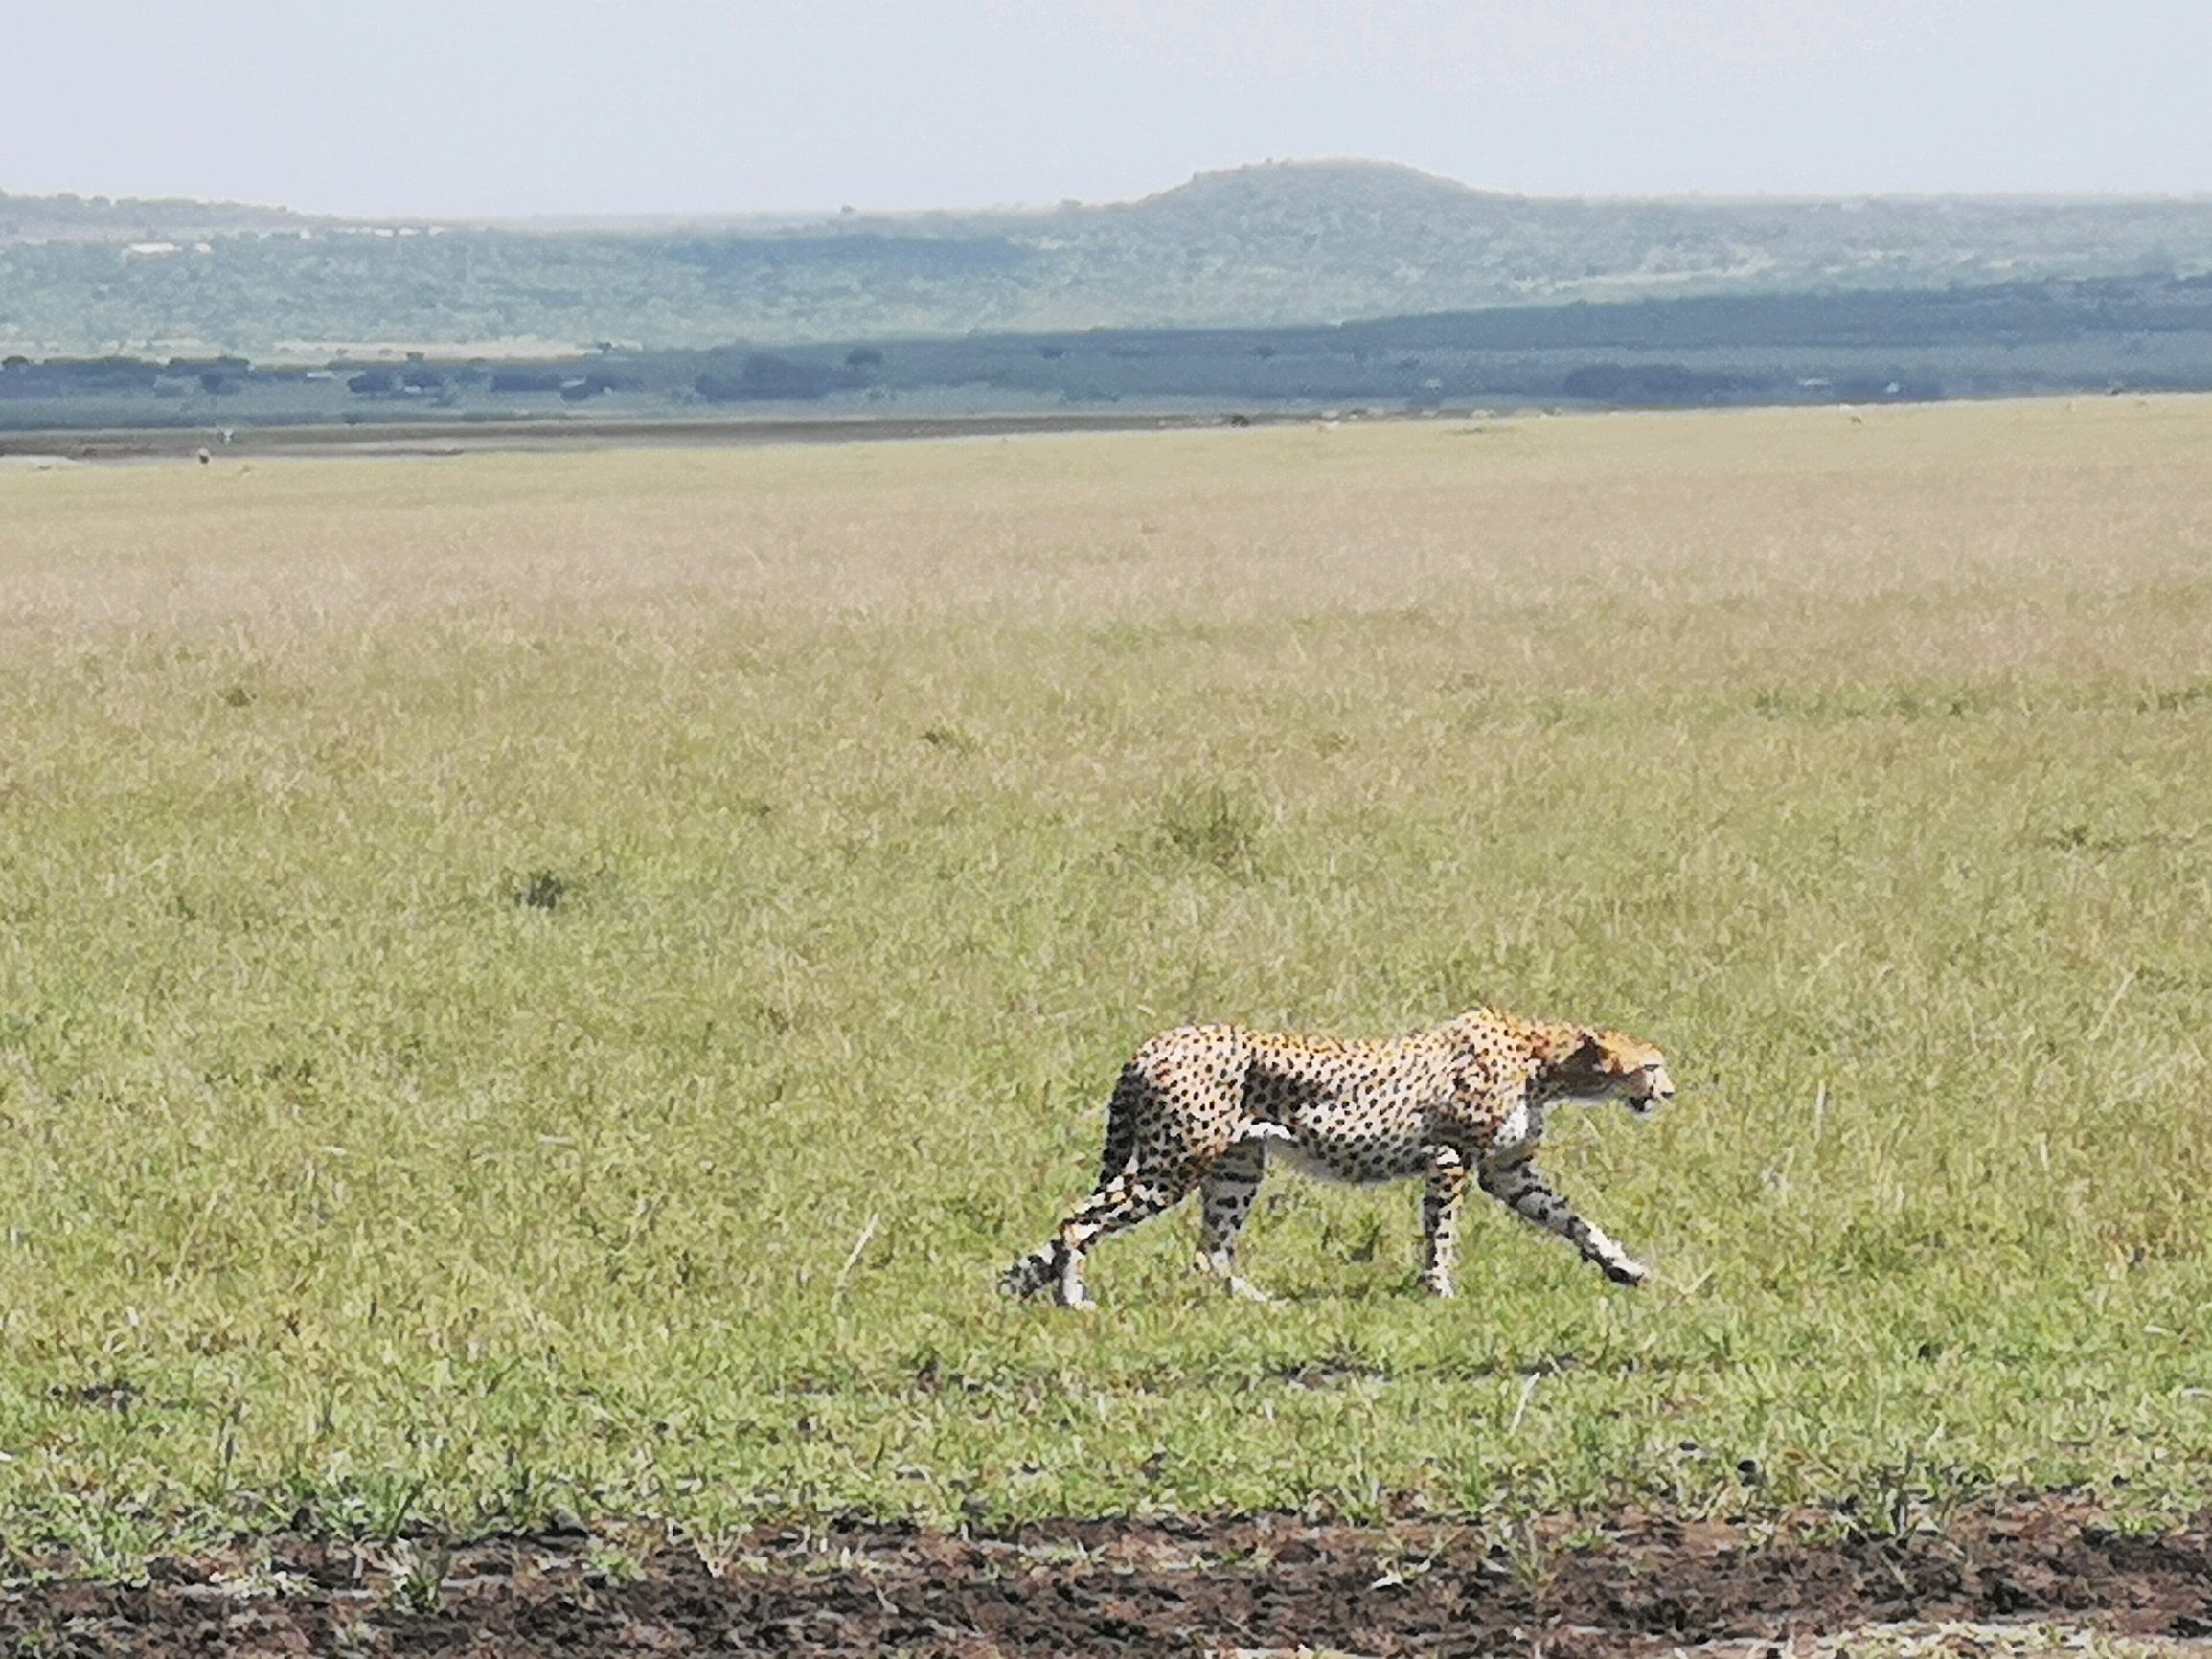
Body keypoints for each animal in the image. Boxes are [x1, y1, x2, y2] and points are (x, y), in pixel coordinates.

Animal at [995, 1012, 1663, 1309]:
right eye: (1652, 1065)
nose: (1670, 1091)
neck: (1545, 1060)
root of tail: (1158, 1040)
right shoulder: (1450, 1160)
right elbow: (1441, 1234)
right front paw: (1439, 1290)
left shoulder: (1507, 1172)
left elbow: (1573, 1220)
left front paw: (1623, 1267)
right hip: (1174, 1163)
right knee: (1078, 1221)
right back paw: (1072, 1298)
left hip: (1237, 1167)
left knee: (1209, 1251)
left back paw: (1261, 1306)